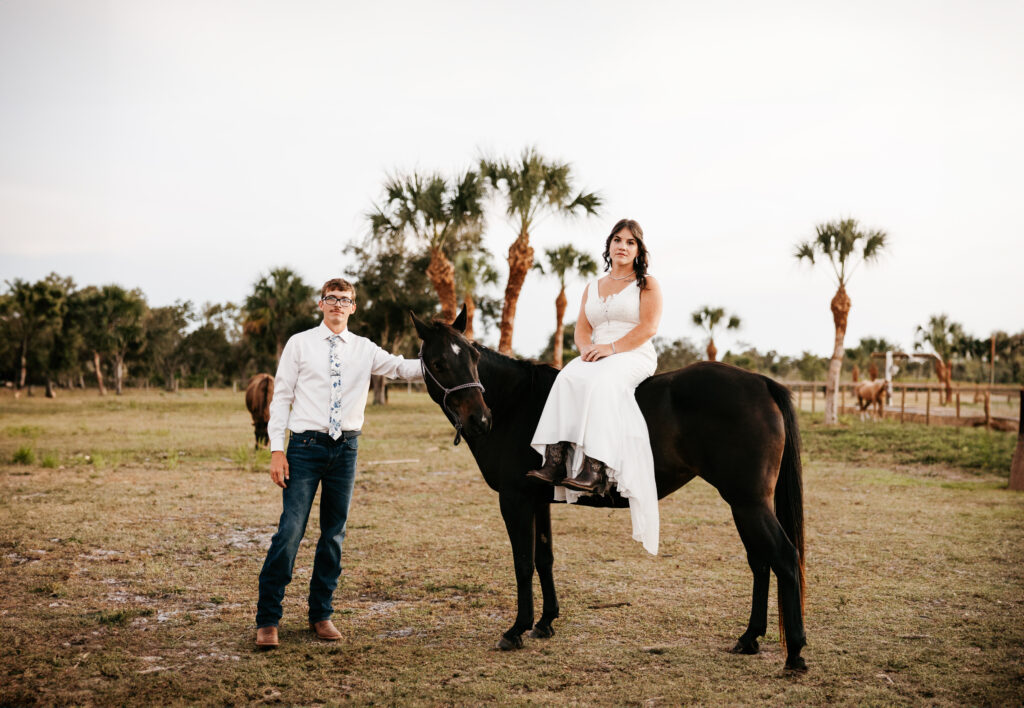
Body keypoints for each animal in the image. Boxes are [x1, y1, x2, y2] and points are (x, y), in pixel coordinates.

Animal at [409, 307, 806, 672]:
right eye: (439, 362)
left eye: (473, 358)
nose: (480, 420)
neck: (516, 402)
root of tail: (760, 382)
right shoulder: (538, 500)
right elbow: (543, 558)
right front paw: (545, 623)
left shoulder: (515, 499)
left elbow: (522, 562)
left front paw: (516, 630)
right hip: (744, 504)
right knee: (761, 562)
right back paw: (749, 638)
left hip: (748, 503)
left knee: (784, 558)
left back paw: (795, 655)